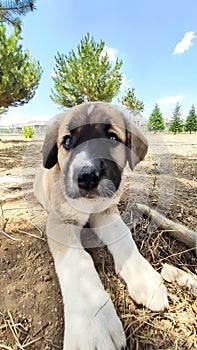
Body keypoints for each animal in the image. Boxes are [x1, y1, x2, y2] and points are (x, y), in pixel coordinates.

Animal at [33, 102, 168, 350]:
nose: (86, 177)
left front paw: (143, 276)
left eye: (112, 137)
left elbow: (124, 236)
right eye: (67, 141)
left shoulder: (106, 213)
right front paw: (92, 322)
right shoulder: (60, 222)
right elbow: (79, 261)